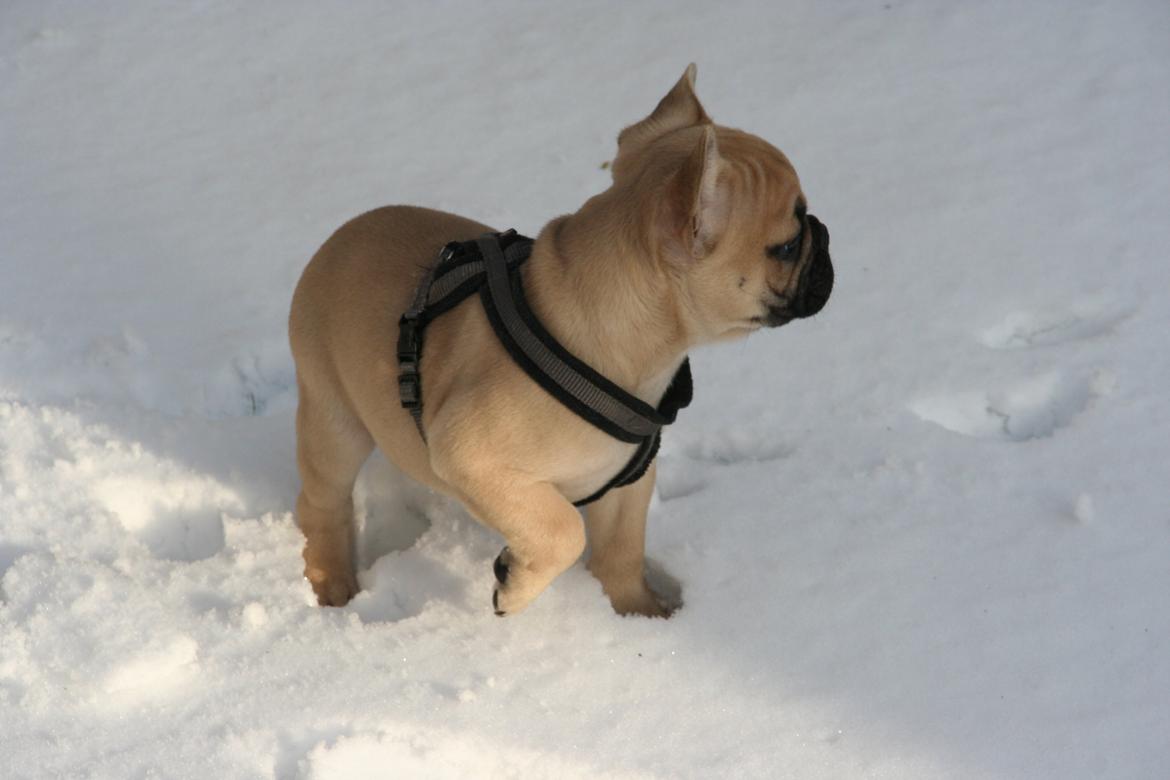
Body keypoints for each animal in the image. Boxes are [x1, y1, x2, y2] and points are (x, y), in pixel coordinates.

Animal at [285, 64, 833, 617]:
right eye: (787, 246)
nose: (824, 231)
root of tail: (334, 241)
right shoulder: (473, 458)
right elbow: (563, 529)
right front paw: (515, 585)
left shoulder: (627, 484)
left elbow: (622, 550)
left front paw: (640, 614)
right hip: (335, 418)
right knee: (323, 502)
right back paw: (333, 586)